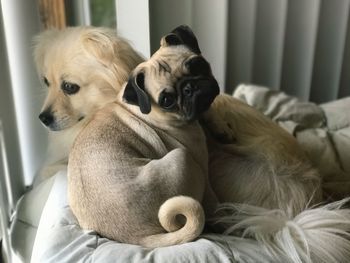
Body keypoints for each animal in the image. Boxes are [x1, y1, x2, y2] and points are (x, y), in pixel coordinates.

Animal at [67, 25, 219, 249]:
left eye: (196, 65)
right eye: (167, 100)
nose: (189, 87)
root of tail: (137, 238)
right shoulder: (201, 162)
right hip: (181, 157)